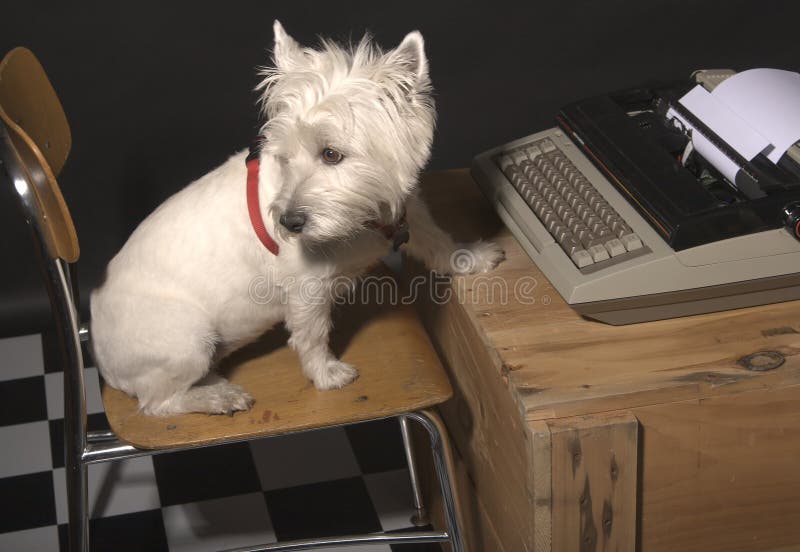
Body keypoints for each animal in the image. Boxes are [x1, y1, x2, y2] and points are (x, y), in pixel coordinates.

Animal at [90, 21, 504, 416]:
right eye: (285, 158)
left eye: (332, 154)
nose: (289, 224)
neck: (361, 218)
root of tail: (98, 353)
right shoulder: (308, 289)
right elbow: (311, 335)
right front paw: (326, 374)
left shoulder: (407, 211)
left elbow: (436, 240)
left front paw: (470, 258)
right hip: (186, 337)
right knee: (158, 402)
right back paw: (219, 398)